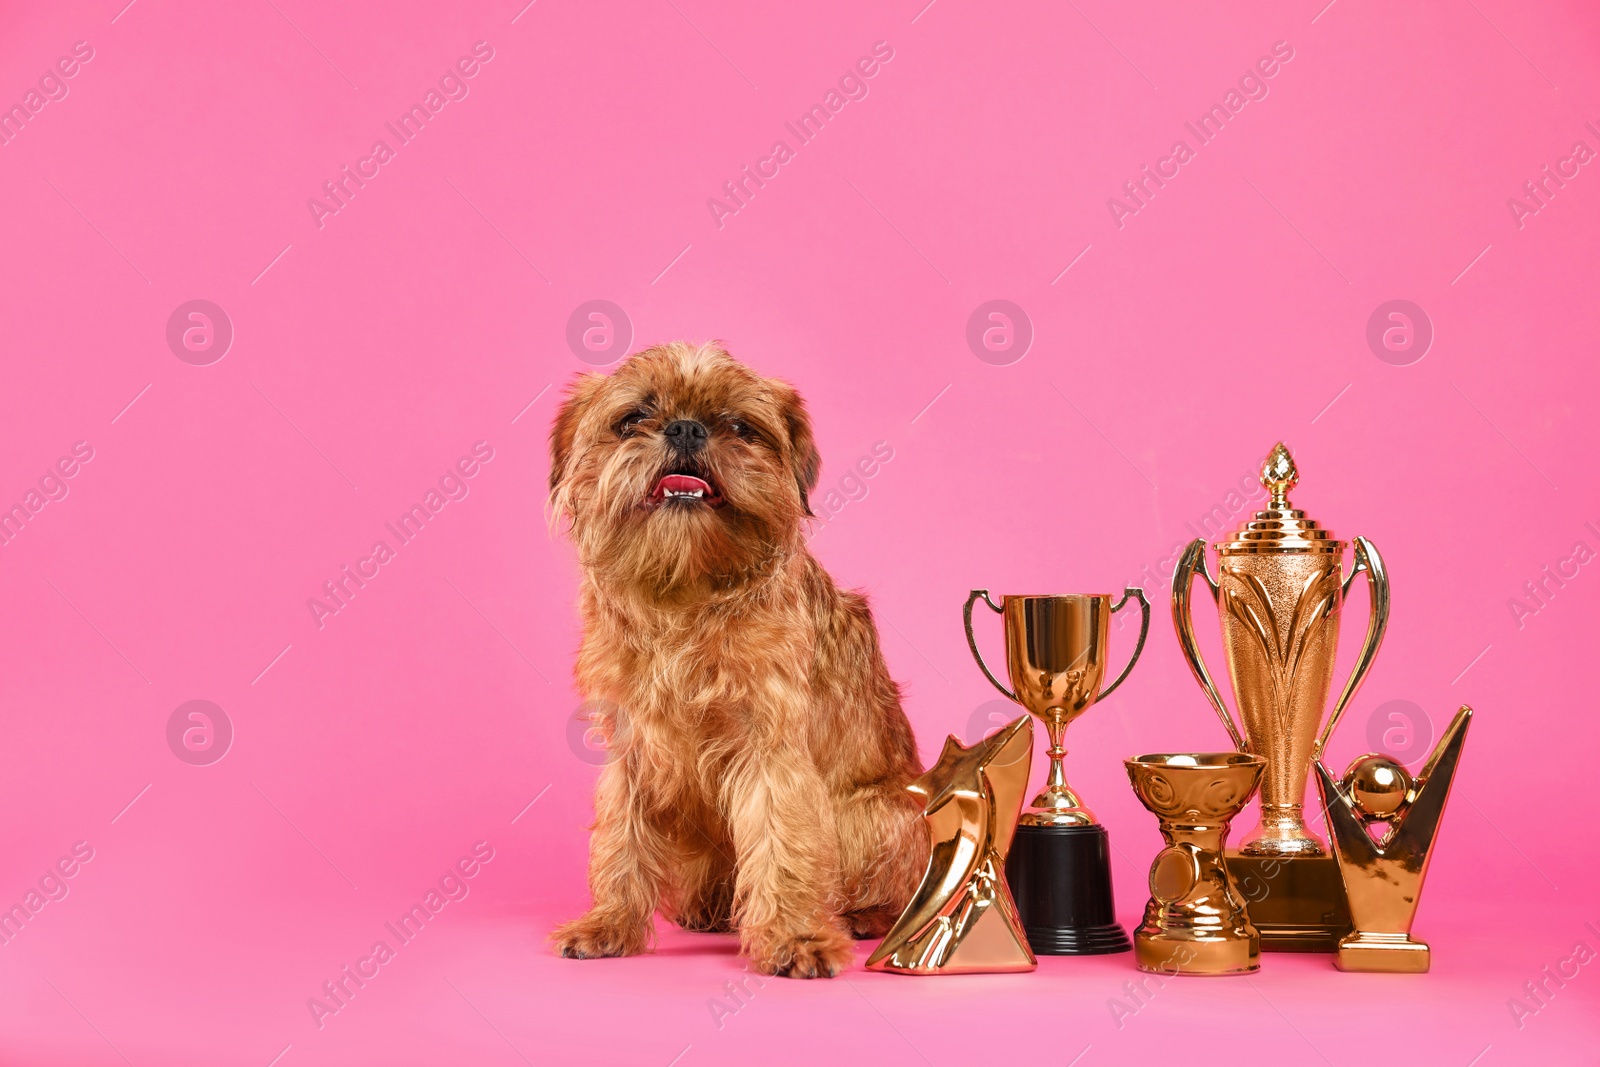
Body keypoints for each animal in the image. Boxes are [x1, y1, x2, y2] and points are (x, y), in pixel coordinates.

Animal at [550, 347, 928, 979]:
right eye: (633, 419)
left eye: (738, 427)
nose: (685, 428)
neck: (684, 593)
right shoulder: (630, 752)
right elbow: (620, 841)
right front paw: (610, 923)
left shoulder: (772, 751)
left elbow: (783, 841)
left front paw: (795, 937)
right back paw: (709, 909)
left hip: (877, 813)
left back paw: (862, 916)